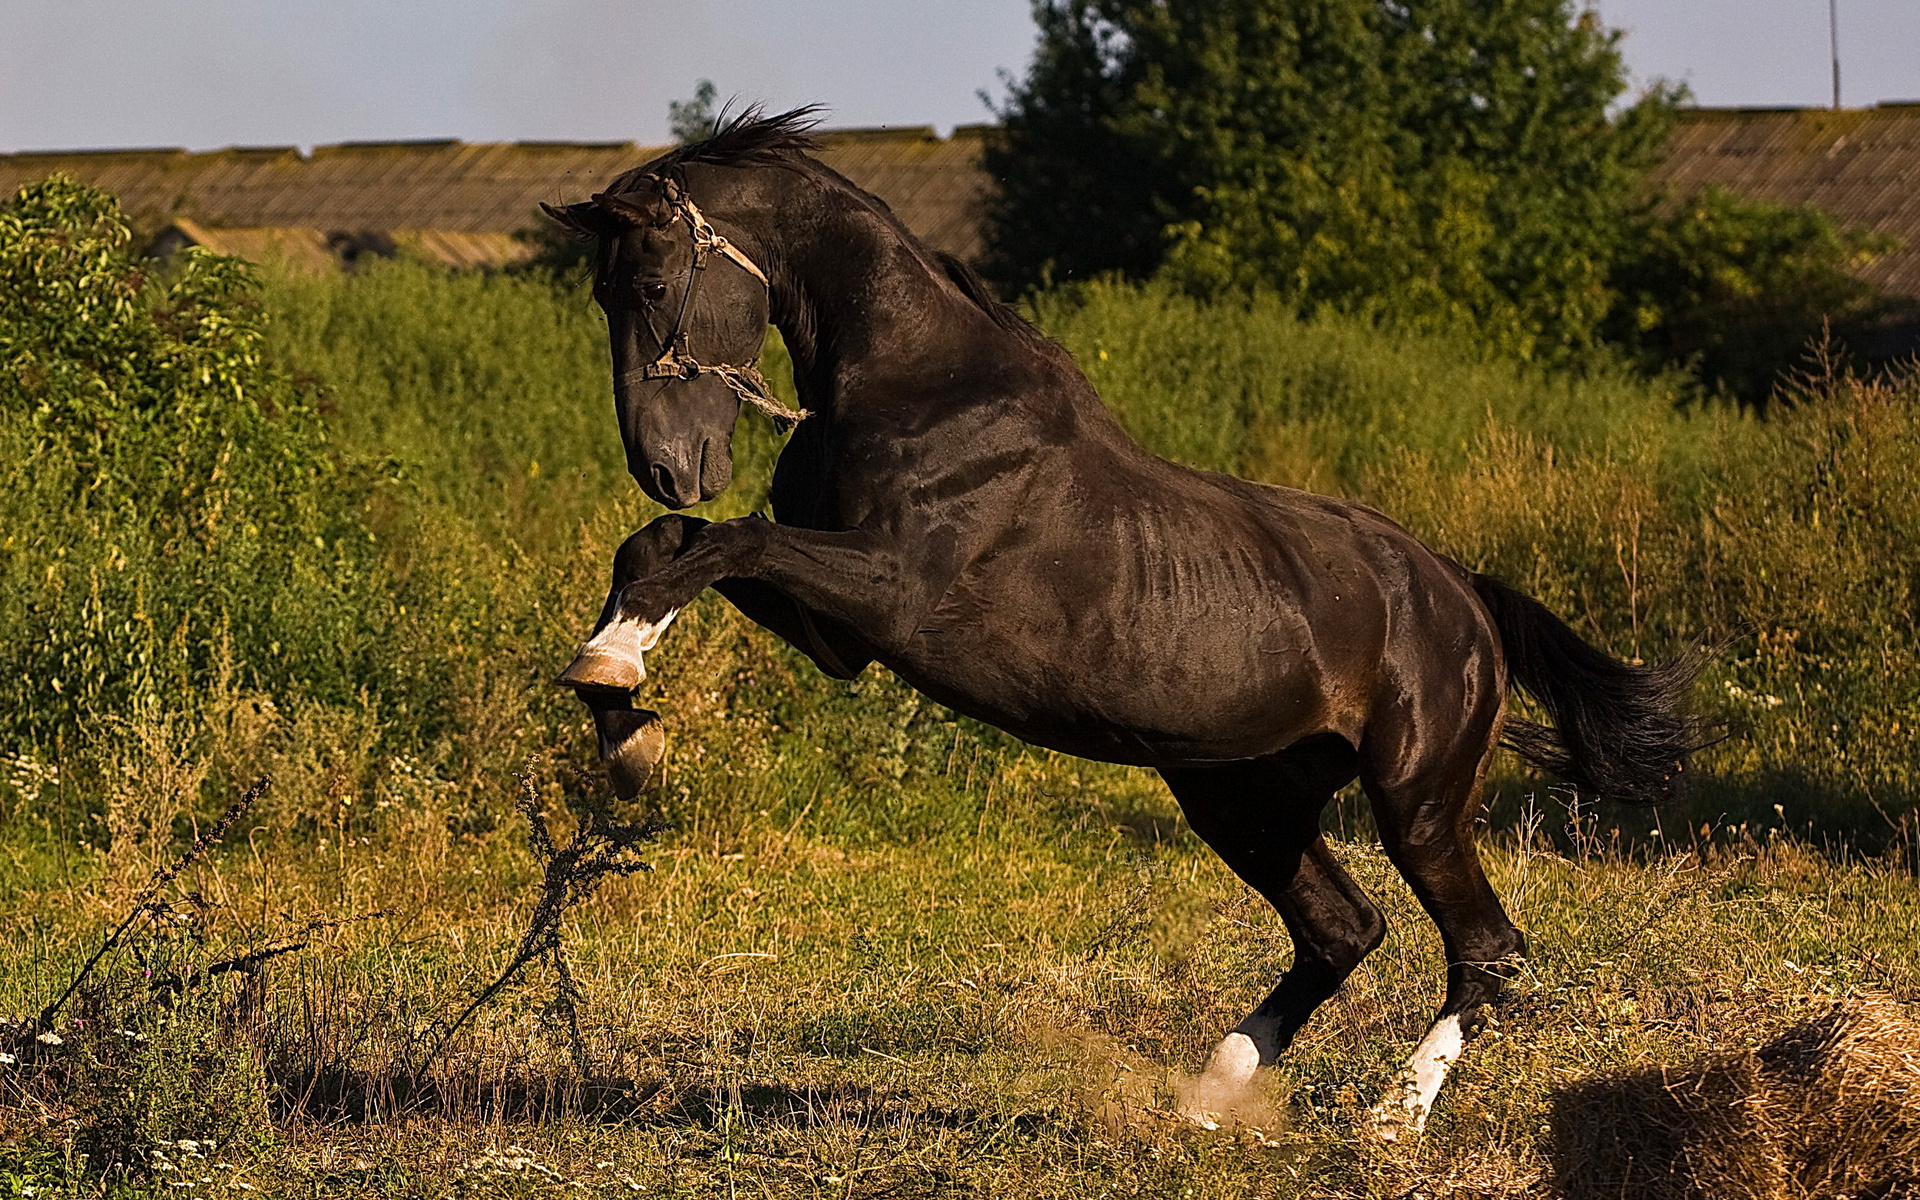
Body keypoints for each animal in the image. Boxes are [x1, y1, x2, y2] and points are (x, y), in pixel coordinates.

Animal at [541, 109, 1697, 1128]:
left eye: (650, 285)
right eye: (601, 294)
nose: (668, 463)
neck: (919, 388)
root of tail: (1465, 595)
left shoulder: (892, 595)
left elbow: (722, 544)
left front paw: (616, 684)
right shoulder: (842, 638)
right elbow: (664, 547)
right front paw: (621, 713)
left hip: (1415, 800)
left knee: (1485, 948)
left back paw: (1390, 1117)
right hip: (1240, 798)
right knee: (1344, 929)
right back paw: (1209, 1094)